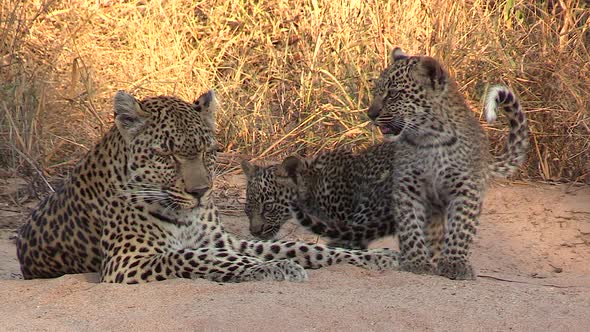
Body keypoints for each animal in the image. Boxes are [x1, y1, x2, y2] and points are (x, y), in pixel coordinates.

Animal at [16, 89, 400, 282]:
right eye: (166, 155)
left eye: (208, 151)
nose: (200, 193)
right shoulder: (128, 262)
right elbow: (200, 257)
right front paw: (271, 268)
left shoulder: (226, 240)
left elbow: (301, 246)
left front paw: (382, 256)